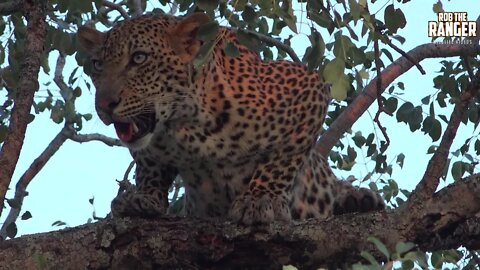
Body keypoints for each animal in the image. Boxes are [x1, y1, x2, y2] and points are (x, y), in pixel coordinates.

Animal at [78, 12, 386, 224]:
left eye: (139, 58)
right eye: (97, 65)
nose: (104, 105)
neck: (185, 125)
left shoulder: (308, 86)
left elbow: (283, 159)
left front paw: (260, 200)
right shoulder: (152, 146)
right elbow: (150, 167)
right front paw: (143, 198)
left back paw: (357, 199)